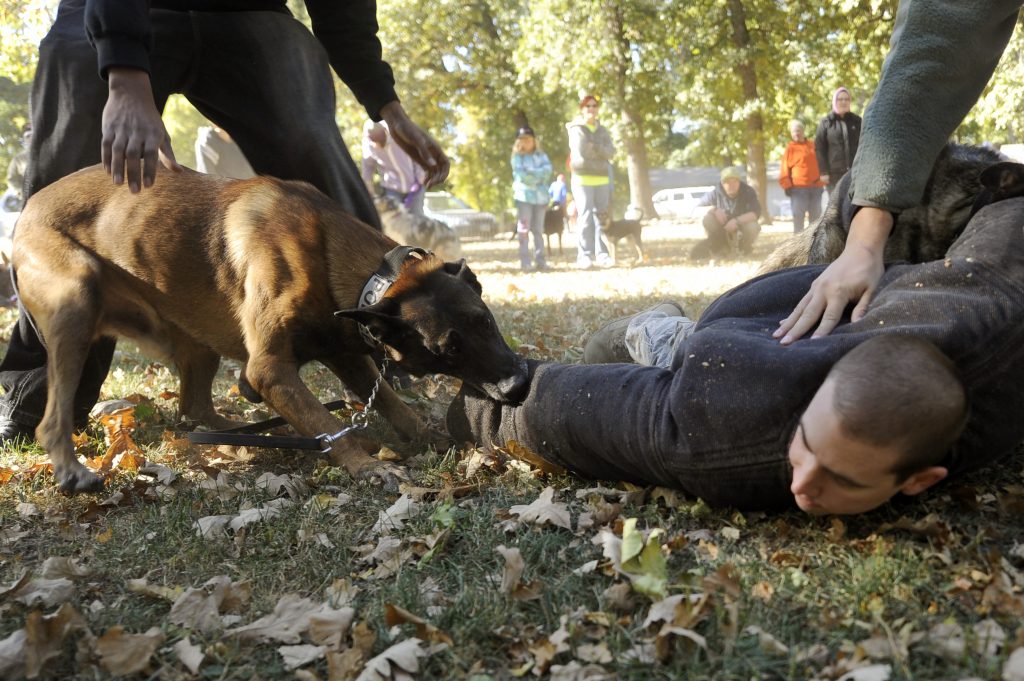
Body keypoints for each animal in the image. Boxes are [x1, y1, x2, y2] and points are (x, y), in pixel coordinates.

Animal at [12, 165, 528, 493]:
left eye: (486, 321)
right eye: (446, 350)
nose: (519, 386)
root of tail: (27, 206)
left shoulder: (347, 355)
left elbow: (391, 403)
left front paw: (428, 435)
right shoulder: (270, 370)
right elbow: (327, 423)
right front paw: (365, 465)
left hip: (197, 345)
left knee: (195, 409)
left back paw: (243, 437)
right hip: (76, 303)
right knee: (53, 418)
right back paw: (72, 470)